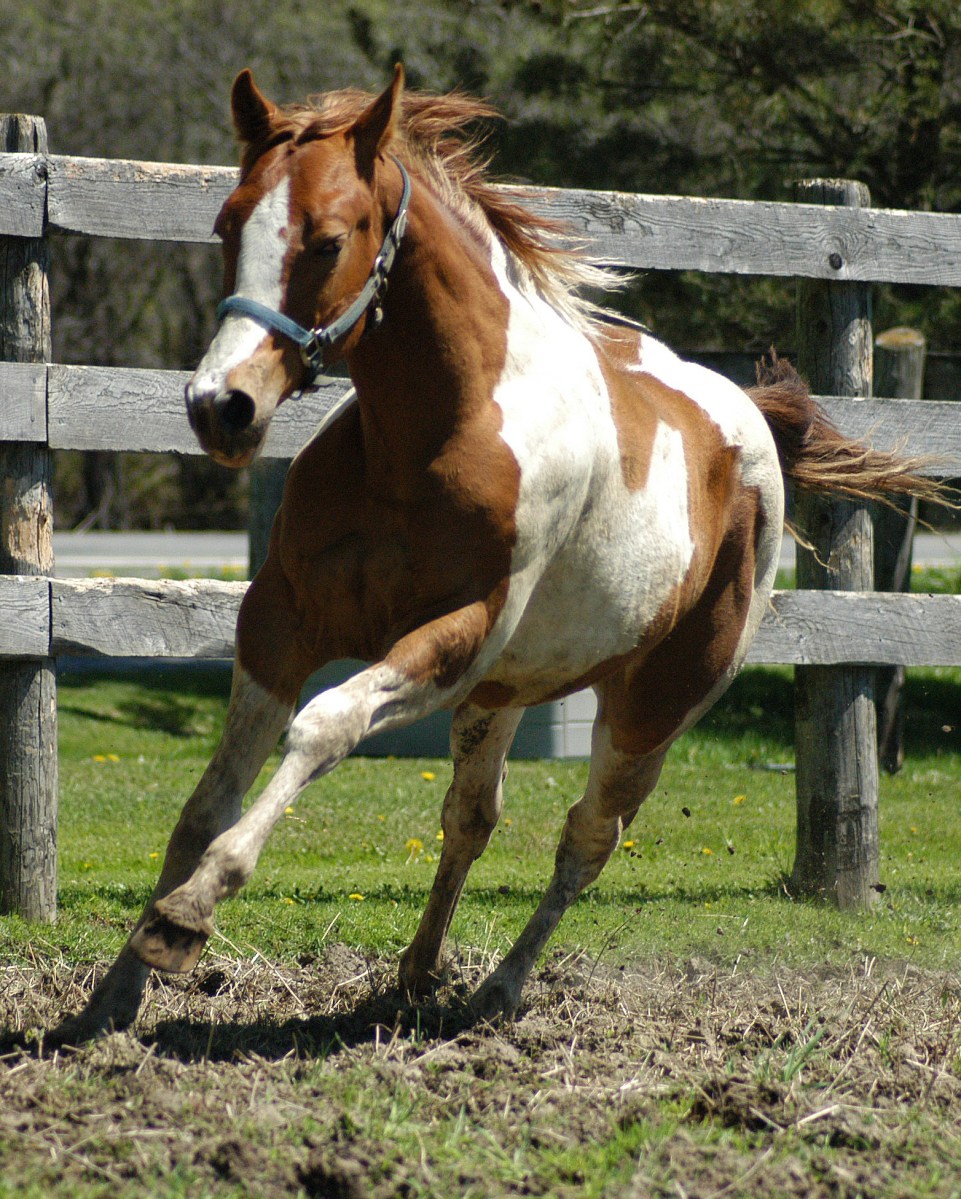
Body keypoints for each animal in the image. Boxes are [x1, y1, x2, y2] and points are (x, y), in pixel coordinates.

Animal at [50, 65, 942, 1044]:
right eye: (225, 224)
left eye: (327, 240)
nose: (222, 406)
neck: (431, 434)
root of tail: (749, 418)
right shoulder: (282, 619)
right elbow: (206, 800)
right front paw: (113, 994)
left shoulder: (457, 638)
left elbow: (323, 726)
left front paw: (188, 914)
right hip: (506, 691)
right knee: (471, 817)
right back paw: (415, 971)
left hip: (655, 702)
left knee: (586, 838)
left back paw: (500, 990)